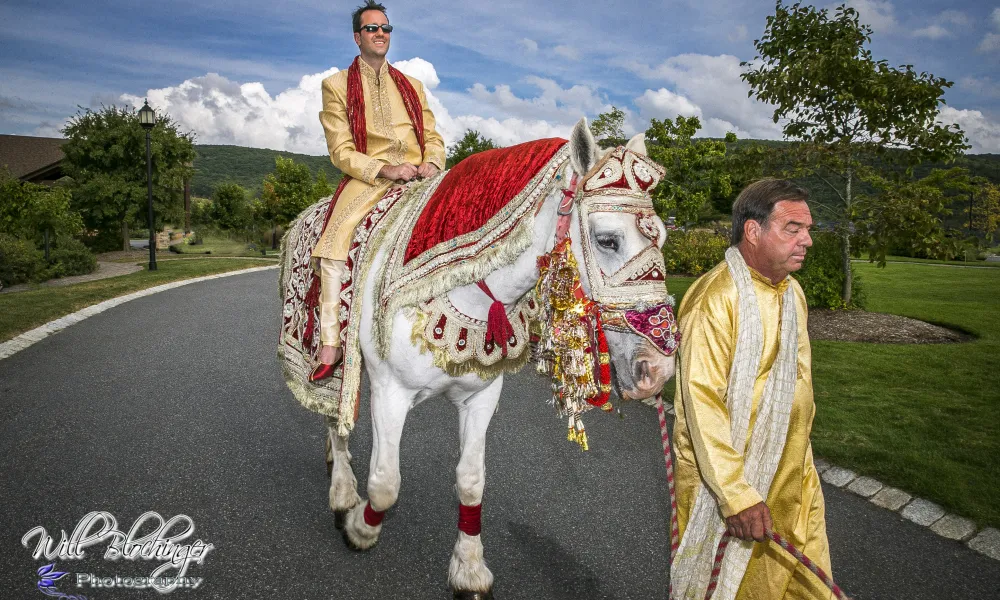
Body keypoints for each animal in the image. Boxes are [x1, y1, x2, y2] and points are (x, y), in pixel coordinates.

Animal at [308, 119, 676, 596]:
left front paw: (468, 568)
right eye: (607, 239)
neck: (460, 290)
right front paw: (361, 528)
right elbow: (386, 482)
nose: (658, 369)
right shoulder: (391, 393)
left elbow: (471, 481)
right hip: (334, 357)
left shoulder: (480, 398)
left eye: (663, 237)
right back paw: (341, 490)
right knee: (334, 413)